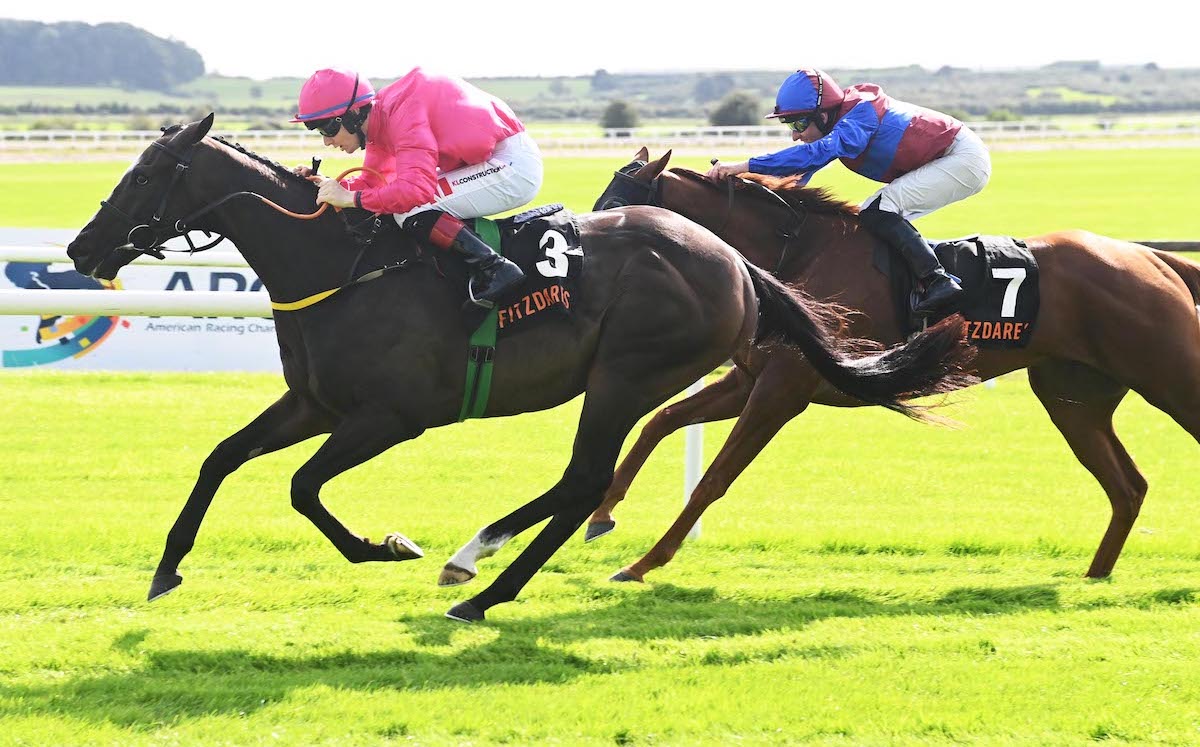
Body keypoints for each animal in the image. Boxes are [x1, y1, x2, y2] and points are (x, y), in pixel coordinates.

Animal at [65, 115, 974, 619]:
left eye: (146, 174)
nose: (79, 248)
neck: (339, 265)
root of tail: (737, 260)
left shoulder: (390, 417)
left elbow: (300, 487)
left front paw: (386, 545)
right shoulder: (316, 403)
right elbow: (222, 457)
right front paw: (168, 566)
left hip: (625, 376)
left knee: (584, 480)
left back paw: (479, 586)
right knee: (582, 483)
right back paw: (478, 562)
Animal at [588, 147, 1200, 586]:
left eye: (617, 209)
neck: (797, 255)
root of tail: (1148, 256)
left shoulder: (784, 389)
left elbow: (713, 478)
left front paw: (642, 564)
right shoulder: (749, 380)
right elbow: (659, 422)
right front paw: (601, 514)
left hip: (1170, 375)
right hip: (1075, 399)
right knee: (1128, 487)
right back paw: (1094, 575)